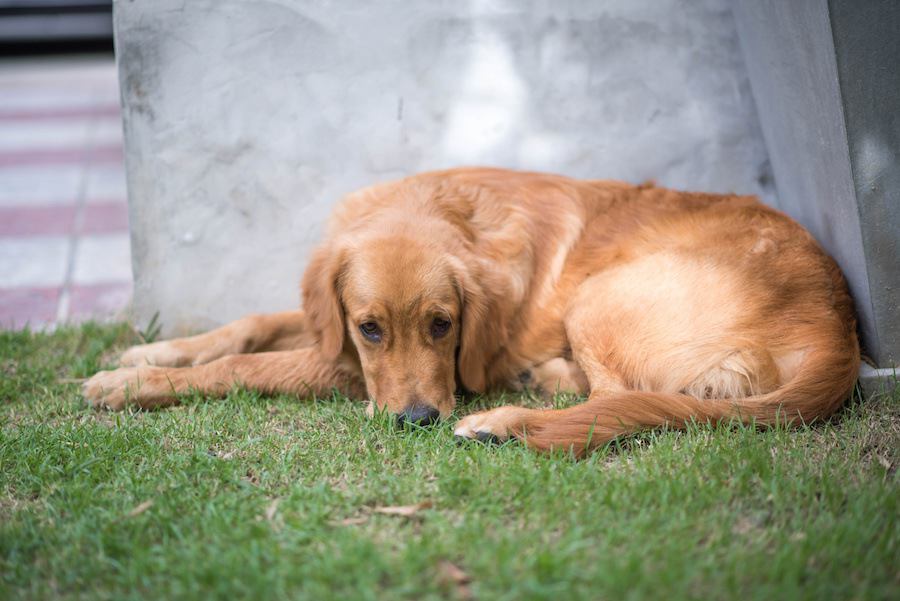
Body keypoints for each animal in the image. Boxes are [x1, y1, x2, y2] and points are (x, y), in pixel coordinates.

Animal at [82, 166, 856, 452]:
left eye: (443, 324)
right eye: (370, 327)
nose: (418, 420)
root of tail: (838, 324)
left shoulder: (351, 370)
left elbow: (248, 365)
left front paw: (130, 383)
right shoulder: (335, 333)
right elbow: (248, 325)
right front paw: (147, 352)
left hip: (602, 296)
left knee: (613, 403)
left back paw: (505, 419)